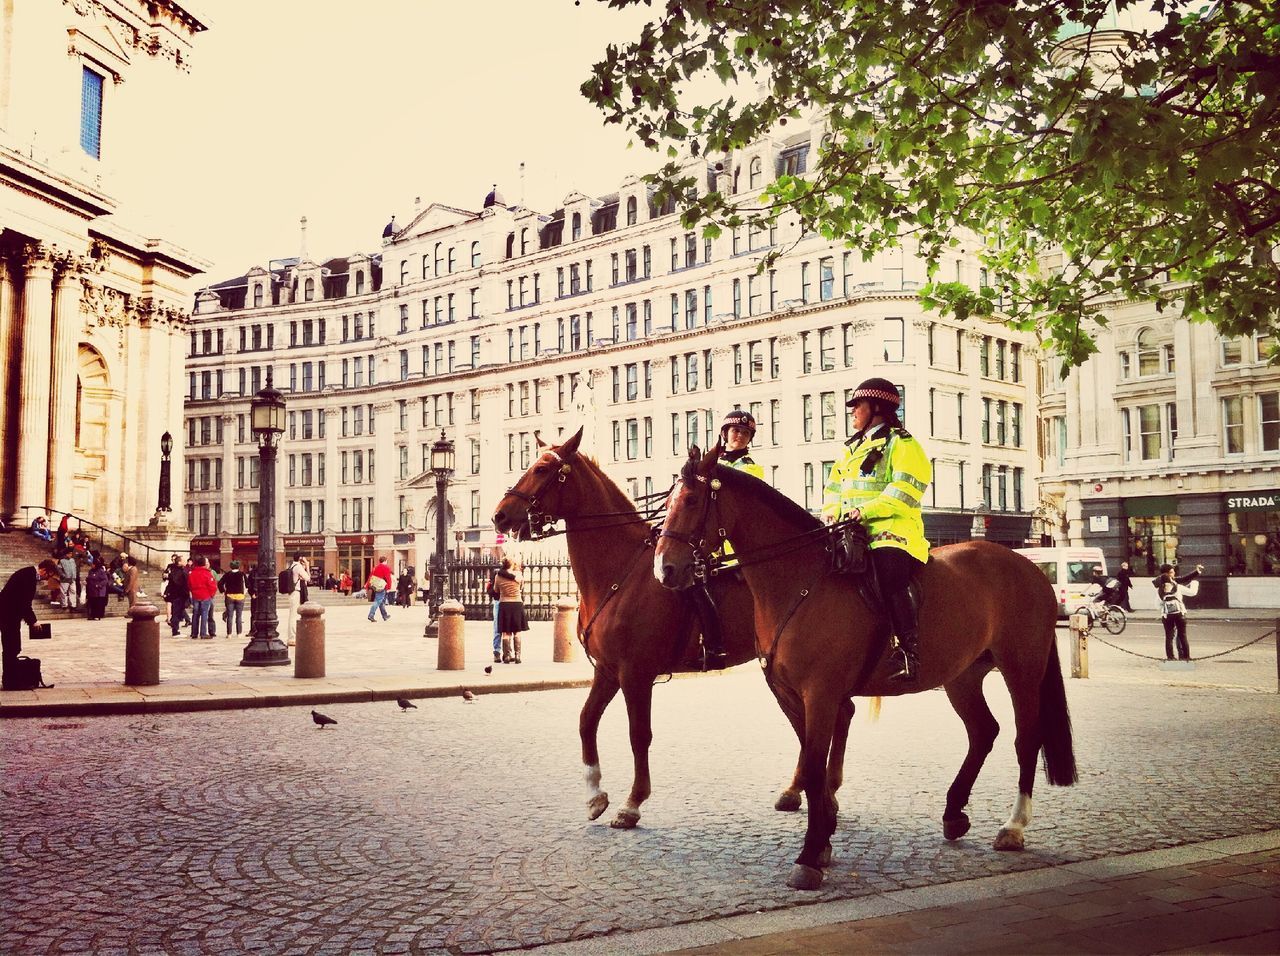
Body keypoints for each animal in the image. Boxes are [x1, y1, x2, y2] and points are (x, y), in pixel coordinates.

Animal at [494, 430, 855, 834]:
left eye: (542, 468)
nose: (500, 514)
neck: (621, 571)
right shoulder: (607, 671)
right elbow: (587, 722)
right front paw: (594, 795)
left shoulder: (635, 673)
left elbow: (639, 735)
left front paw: (632, 803)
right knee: (832, 715)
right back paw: (804, 790)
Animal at [655, 447, 1075, 890]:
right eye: (667, 501)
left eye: (691, 501)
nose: (664, 568)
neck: (800, 582)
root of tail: (1029, 566)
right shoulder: (791, 696)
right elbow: (813, 764)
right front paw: (822, 837)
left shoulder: (821, 695)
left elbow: (815, 764)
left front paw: (809, 854)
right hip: (962, 676)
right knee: (983, 732)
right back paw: (953, 812)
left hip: (1021, 669)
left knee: (1026, 739)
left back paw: (1013, 826)